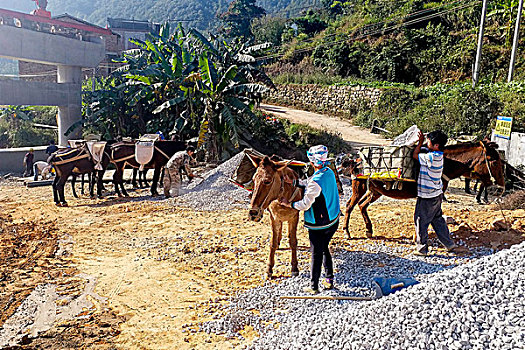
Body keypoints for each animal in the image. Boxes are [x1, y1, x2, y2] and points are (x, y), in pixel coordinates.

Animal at [340, 141, 504, 239]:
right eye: (495, 161)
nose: (502, 187)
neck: (446, 162)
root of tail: (356, 160)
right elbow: (423, 216)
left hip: (375, 191)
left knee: (362, 205)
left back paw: (369, 230)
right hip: (359, 187)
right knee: (349, 206)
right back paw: (347, 232)